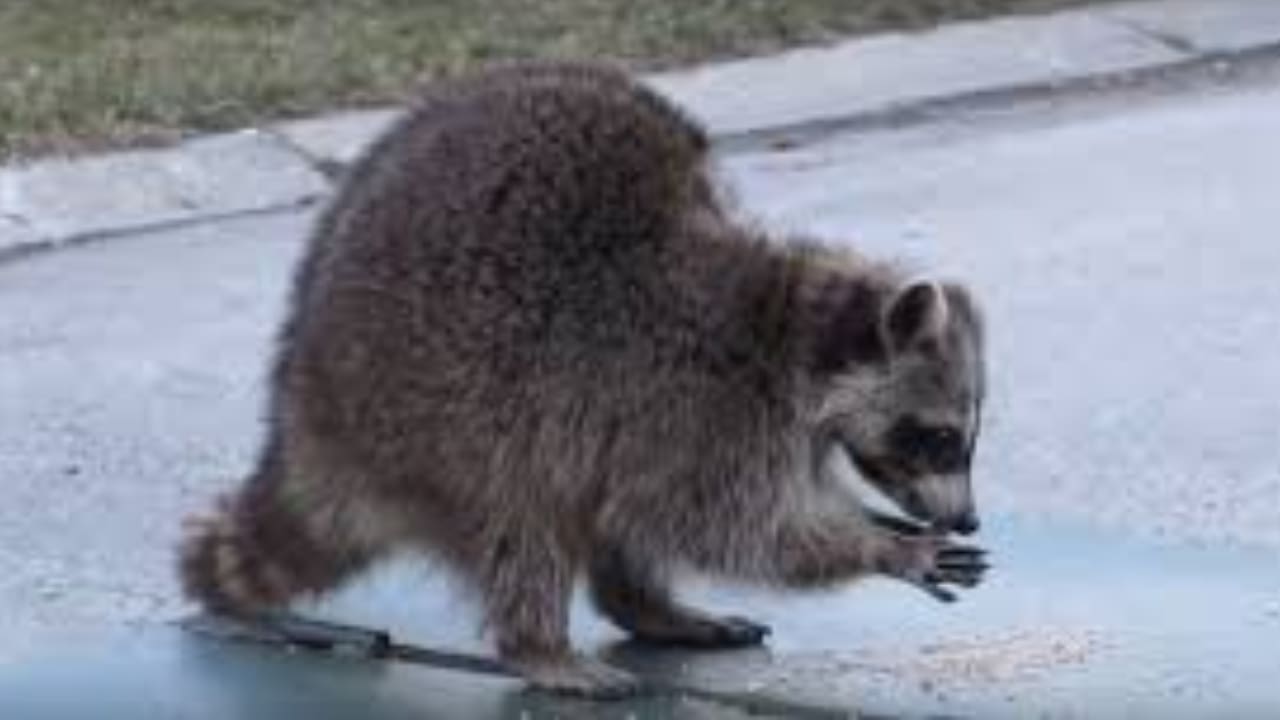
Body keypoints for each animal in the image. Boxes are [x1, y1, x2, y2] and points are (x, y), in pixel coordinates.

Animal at [180, 61, 988, 698]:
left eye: (962, 440)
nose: (967, 519)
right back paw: (541, 646)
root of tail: (303, 407)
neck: (791, 330)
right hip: (442, 404)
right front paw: (878, 547)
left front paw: (878, 522)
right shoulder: (704, 412)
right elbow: (736, 528)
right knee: (523, 515)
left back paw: (646, 605)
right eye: (940, 438)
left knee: (603, 507)